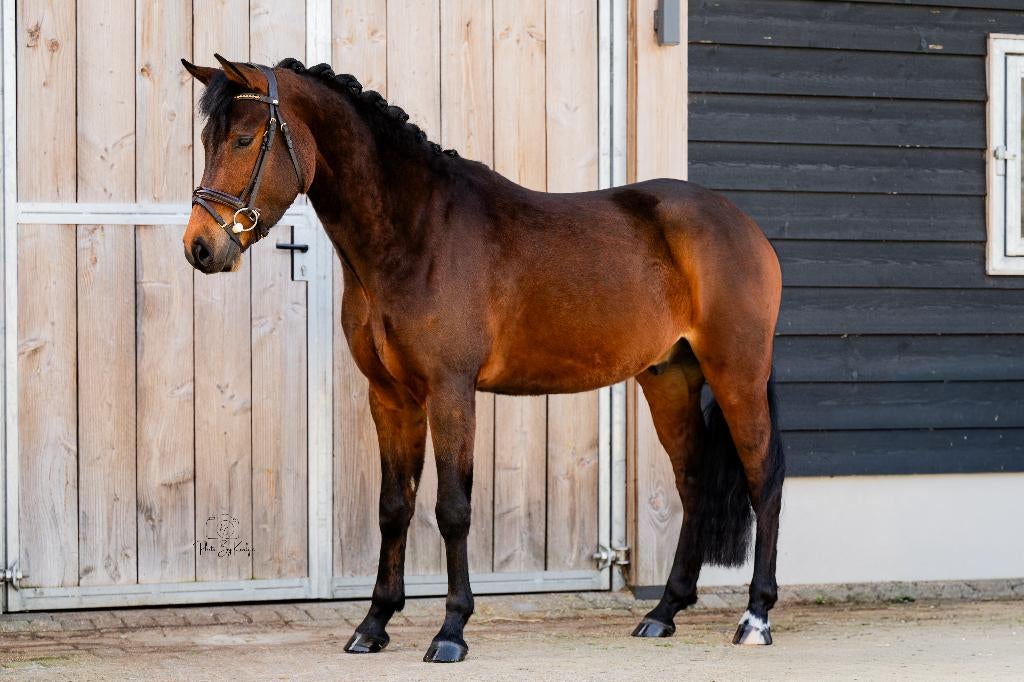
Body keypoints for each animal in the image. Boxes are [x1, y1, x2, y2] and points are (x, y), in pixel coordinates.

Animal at [181, 55, 786, 663]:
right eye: (207, 139)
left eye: (243, 139)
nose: (200, 248)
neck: (416, 234)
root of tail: (743, 224)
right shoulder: (391, 397)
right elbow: (393, 507)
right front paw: (373, 625)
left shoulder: (451, 391)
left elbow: (452, 508)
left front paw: (451, 630)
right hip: (668, 378)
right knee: (694, 483)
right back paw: (663, 612)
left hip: (736, 374)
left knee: (764, 480)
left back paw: (755, 617)